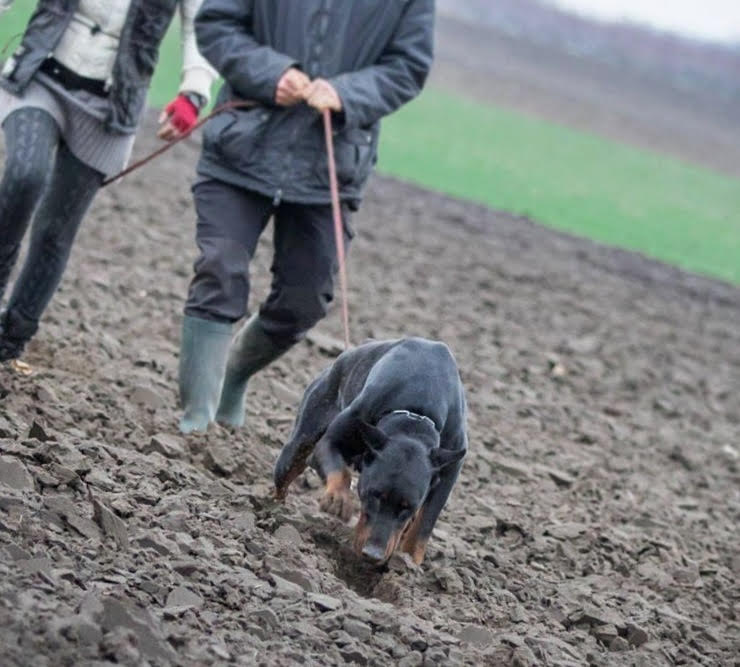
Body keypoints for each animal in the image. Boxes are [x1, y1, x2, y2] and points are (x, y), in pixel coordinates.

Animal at [272, 340, 468, 564]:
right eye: (372, 495)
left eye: (407, 507)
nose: (373, 554)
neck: (416, 415)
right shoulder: (330, 442)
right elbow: (340, 471)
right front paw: (338, 499)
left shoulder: (449, 471)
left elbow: (425, 521)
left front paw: (410, 561)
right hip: (301, 439)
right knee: (285, 475)